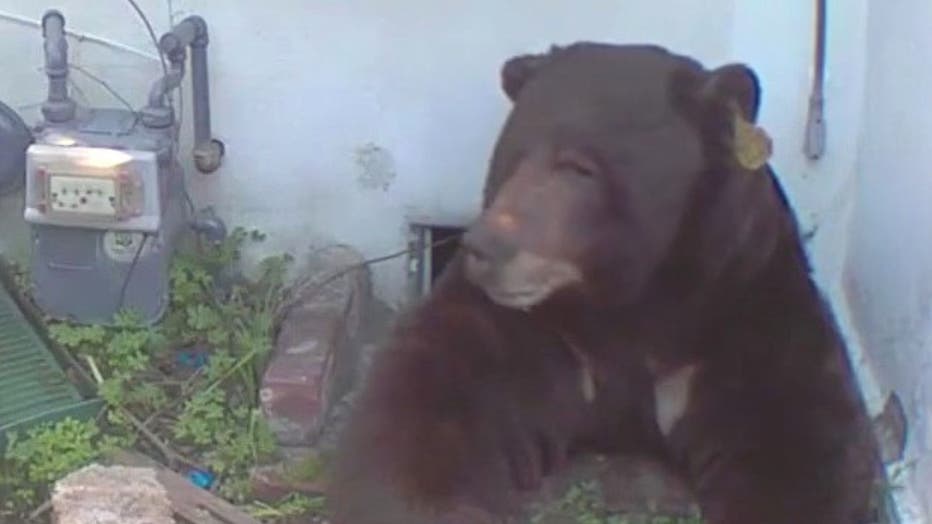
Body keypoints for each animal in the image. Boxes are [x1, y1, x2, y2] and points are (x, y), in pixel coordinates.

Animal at [329, 42, 882, 524]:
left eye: (579, 167)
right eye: (512, 156)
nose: (483, 248)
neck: (630, 299)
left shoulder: (746, 309)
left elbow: (803, 449)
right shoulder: (525, 330)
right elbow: (423, 408)